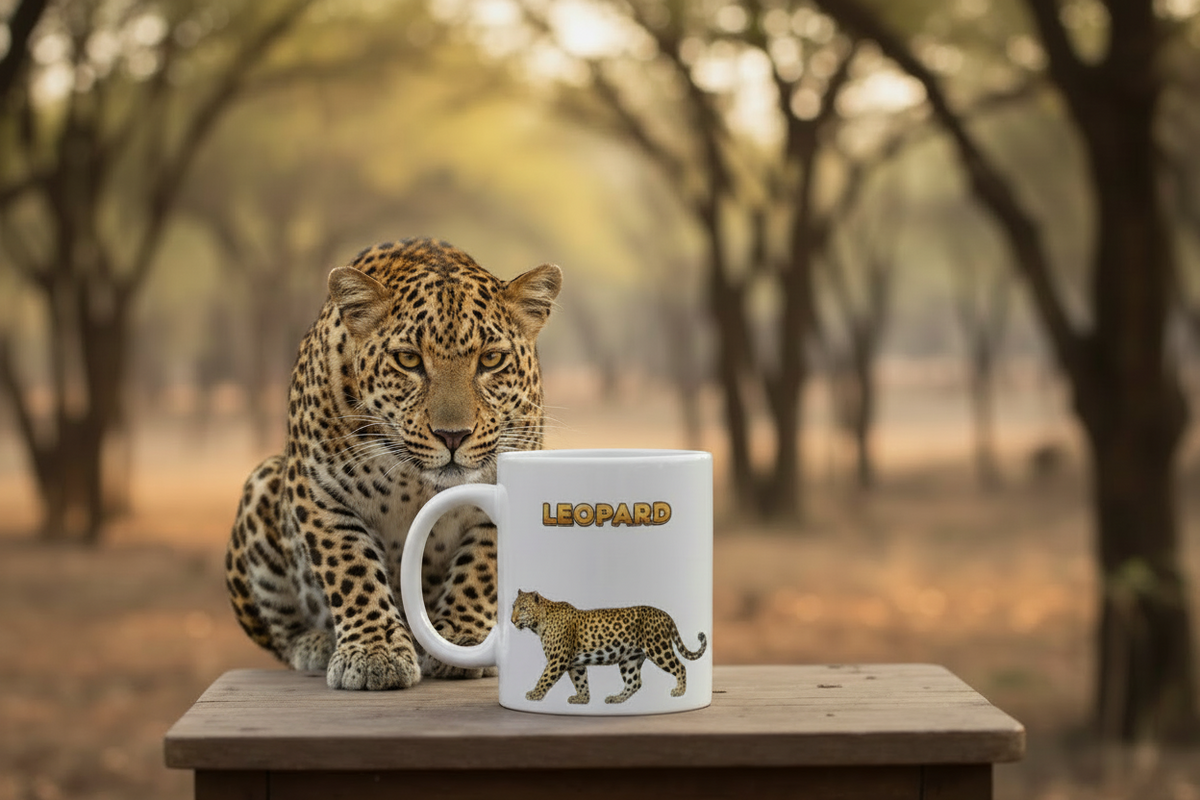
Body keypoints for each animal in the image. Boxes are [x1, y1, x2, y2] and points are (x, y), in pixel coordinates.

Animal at [225, 238, 562, 691]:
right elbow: (352, 571)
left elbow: (480, 568)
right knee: (281, 634)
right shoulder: (319, 492)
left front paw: (462, 639)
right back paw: (314, 644)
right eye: (408, 360)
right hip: (261, 486)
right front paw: (374, 653)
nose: (452, 435)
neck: (415, 482)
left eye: (491, 360)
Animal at [510, 589, 708, 704]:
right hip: (629, 659)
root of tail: (665, 615)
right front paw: (583, 698)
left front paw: (535, 694)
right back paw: (616, 698)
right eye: (513, 607)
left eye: (523, 608)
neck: (539, 624)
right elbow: (581, 681)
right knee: (634, 682)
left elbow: (545, 678)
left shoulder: (558, 659)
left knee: (680, 667)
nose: (511, 620)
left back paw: (680, 691)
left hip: (658, 649)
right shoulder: (575, 663)